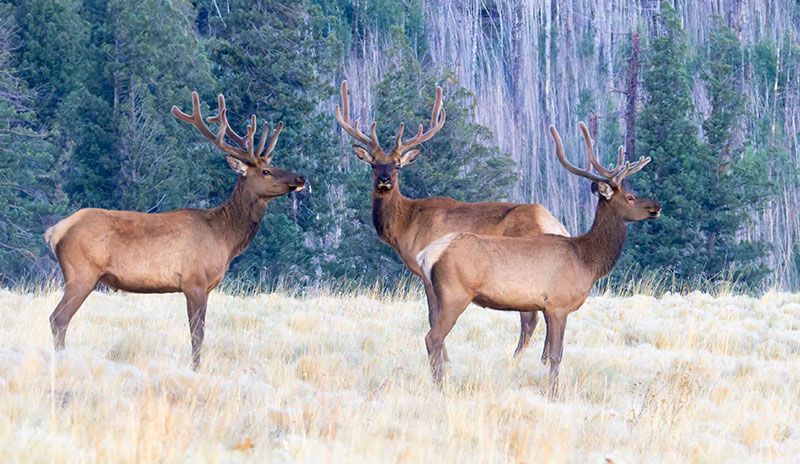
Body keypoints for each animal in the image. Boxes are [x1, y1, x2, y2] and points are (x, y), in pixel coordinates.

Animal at [45, 91, 305, 369]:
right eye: (266, 171)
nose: (301, 178)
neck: (224, 238)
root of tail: (55, 231)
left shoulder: (206, 287)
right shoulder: (194, 282)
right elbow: (197, 334)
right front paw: (196, 369)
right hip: (81, 274)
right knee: (58, 318)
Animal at [335, 81, 569, 362]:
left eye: (397, 165)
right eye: (373, 164)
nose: (384, 179)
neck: (407, 225)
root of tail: (557, 225)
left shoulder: (426, 269)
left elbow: (433, 316)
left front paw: (443, 358)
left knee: (530, 318)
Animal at [415, 122, 661, 398]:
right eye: (630, 197)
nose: (656, 206)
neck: (587, 260)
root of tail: (426, 254)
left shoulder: (546, 308)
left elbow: (545, 356)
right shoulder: (557, 305)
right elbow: (555, 355)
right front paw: (554, 393)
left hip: (435, 294)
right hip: (454, 293)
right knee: (432, 338)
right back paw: (441, 386)